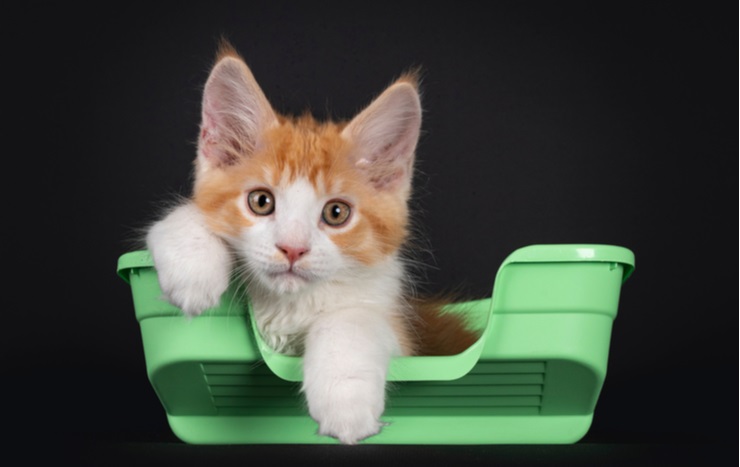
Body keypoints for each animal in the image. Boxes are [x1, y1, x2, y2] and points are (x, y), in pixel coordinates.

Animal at [146, 42, 480, 444]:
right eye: (261, 201)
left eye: (336, 213)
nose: (293, 248)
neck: (286, 307)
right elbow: (188, 215)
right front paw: (193, 274)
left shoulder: (398, 327)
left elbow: (349, 320)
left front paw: (346, 404)